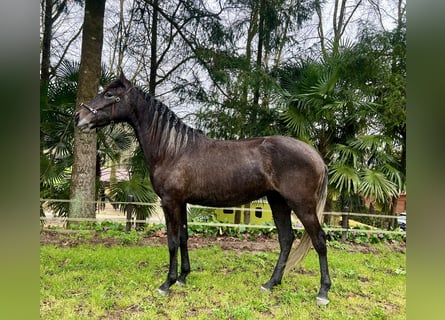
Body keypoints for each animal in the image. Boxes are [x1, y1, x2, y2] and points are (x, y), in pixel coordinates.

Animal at [74, 72, 330, 304]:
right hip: (278, 202)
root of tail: (316, 156)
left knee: (318, 239)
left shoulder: (170, 202)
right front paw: (183, 278)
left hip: (302, 205)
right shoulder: (182, 203)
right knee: (286, 239)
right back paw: (271, 283)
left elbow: (172, 241)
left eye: (109, 94)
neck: (172, 149)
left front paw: (167, 284)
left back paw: (323, 293)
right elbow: (184, 237)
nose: (79, 117)